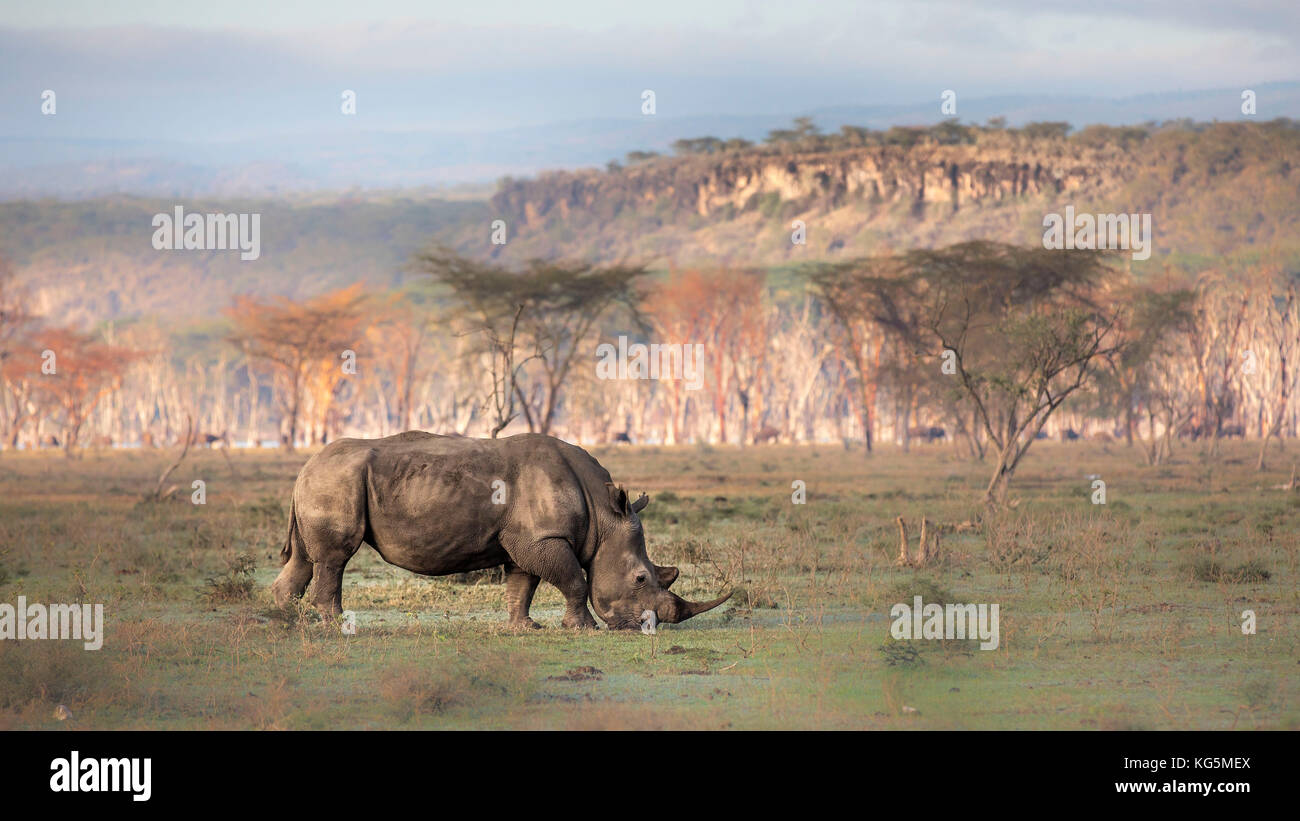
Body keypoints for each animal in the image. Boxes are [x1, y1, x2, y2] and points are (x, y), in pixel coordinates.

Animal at [272, 431, 731, 630]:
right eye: (639, 579)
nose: (650, 625)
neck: (604, 516)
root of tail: (304, 467)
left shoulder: (526, 540)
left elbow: (522, 585)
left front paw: (524, 629)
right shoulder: (544, 538)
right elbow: (576, 581)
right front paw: (583, 628)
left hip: (325, 481)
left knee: (305, 559)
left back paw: (287, 619)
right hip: (336, 481)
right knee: (334, 558)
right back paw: (333, 622)